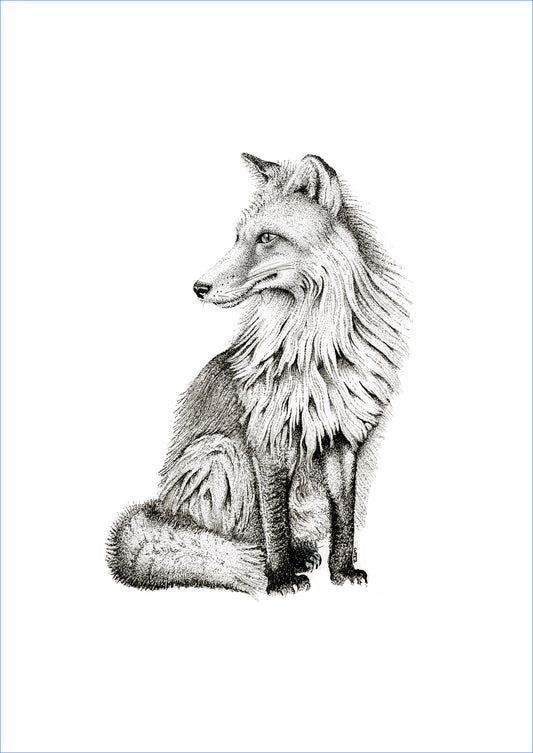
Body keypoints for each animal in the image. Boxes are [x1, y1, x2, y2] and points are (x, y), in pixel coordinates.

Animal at [107, 153, 409, 596]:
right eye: (237, 237)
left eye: (266, 237)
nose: (199, 287)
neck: (313, 353)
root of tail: (161, 508)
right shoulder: (266, 441)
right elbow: (274, 522)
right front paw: (280, 579)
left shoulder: (342, 439)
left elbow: (345, 515)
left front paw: (342, 571)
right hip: (221, 454)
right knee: (240, 536)